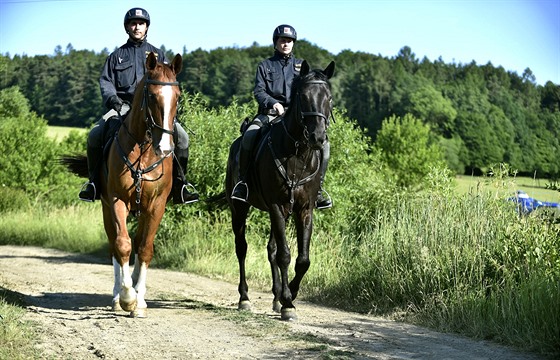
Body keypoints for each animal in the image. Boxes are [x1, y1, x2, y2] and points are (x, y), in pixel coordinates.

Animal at [63, 52, 183, 316]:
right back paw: (119, 295)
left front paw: (140, 301)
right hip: (106, 208)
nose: (165, 147)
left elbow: (145, 247)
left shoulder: (156, 205)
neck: (143, 150)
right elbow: (123, 245)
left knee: (138, 243)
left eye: (177, 96)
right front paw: (128, 297)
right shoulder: (117, 201)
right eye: (152, 95)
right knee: (114, 247)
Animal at [225, 59, 334, 320]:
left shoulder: (304, 209)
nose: (317, 137)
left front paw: (289, 295)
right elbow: (285, 255)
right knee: (242, 248)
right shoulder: (276, 205)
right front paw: (287, 302)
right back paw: (245, 298)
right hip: (240, 208)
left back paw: (275, 298)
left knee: (271, 249)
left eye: (329, 98)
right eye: (303, 96)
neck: (297, 153)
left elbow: (302, 259)